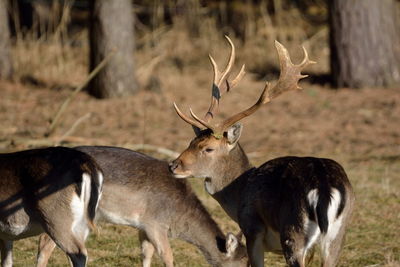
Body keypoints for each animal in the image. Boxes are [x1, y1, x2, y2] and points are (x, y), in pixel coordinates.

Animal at [35, 147, 247, 267]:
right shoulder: (155, 223)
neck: (178, 216)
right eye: (244, 263)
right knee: (46, 243)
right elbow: (167, 256)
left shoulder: (143, 226)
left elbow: (146, 254)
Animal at [168, 36, 354, 266]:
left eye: (208, 148)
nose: (173, 165)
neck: (241, 190)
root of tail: (325, 187)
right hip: (338, 233)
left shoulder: (252, 228)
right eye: (191, 141)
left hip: (293, 231)